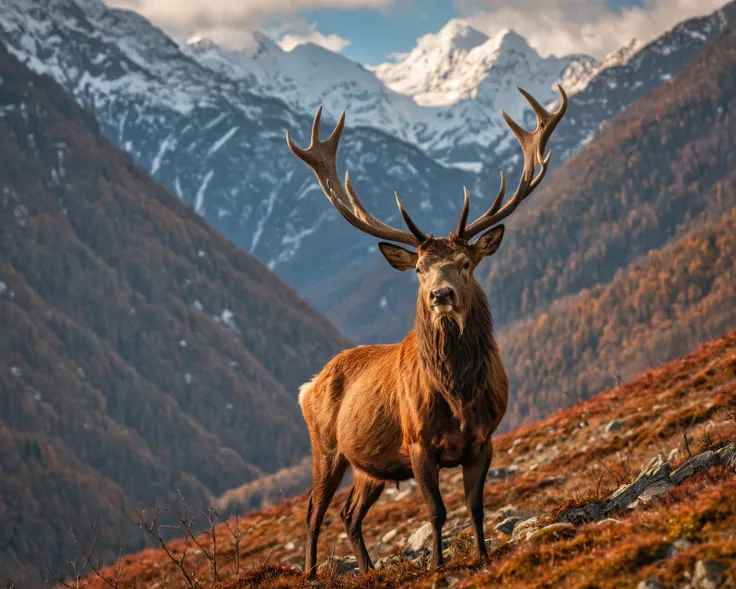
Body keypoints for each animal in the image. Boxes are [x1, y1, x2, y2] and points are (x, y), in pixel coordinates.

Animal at [284, 84, 568, 576]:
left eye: (466, 263)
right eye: (419, 268)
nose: (441, 295)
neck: (458, 395)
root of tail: (308, 385)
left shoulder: (484, 438)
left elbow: (476, 506)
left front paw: (482, 554)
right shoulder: (417, 442)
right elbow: (436, 511)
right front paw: (437, 564)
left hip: (371, 467)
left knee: (349, 513)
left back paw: (370, 571)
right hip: (326, 448)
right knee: (314, 513)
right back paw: (310, 573)